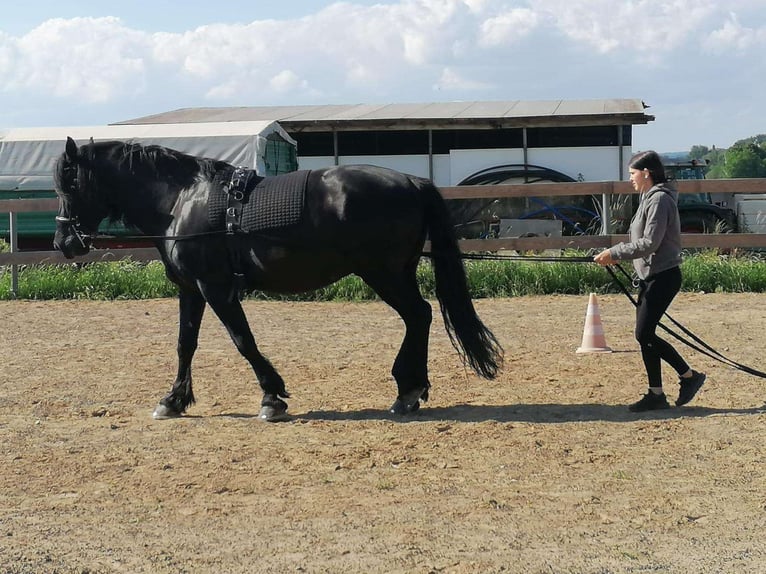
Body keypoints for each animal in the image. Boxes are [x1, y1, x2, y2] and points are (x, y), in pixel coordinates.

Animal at [53, 137, 503, 421]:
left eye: (69, 185)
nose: (64, 243)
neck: (181, 201)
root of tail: (412, 180)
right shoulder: (191, 290)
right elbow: (185, 344)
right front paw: (174, 400)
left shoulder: (217, 289)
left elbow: (243, 341)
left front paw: (272, 397)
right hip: (394, 273)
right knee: (419, 317)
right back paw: (410, 390)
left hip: (383, 273)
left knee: (419, 315)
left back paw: (408, 390)